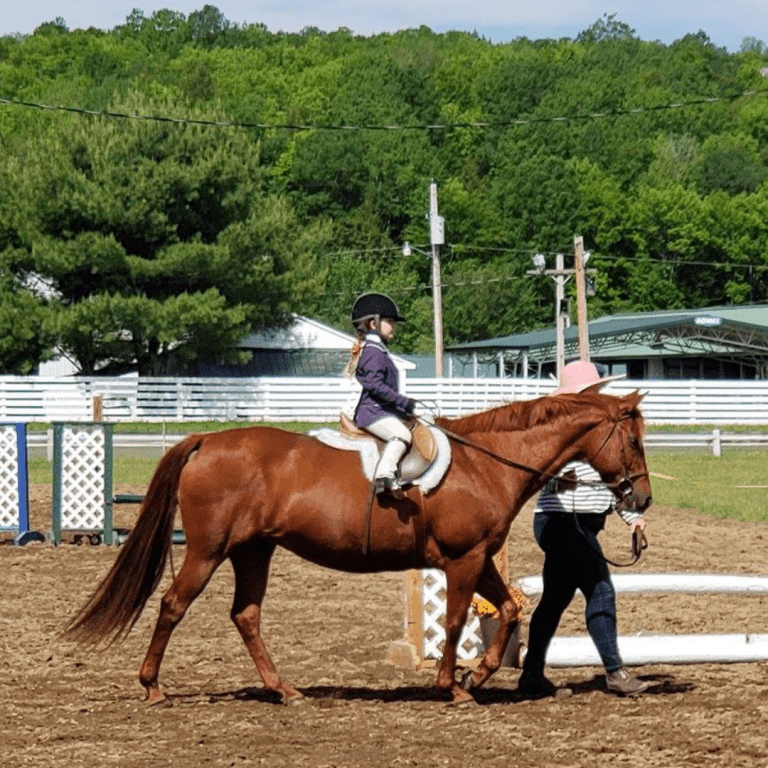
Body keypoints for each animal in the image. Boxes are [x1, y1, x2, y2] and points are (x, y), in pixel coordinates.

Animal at [65, 390, 652, 705]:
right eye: (634, 440)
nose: (641, 498)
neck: (485, 462)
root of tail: (207, 440)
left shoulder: (478, 557)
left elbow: (508, 611)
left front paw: (475, 675)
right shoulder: (462, 560)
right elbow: (456, 620)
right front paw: (453, 685)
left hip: (253, 551)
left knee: (246, 615)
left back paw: (284, 690)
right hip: (207, 551)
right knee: (173, 605)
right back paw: (153, 687)